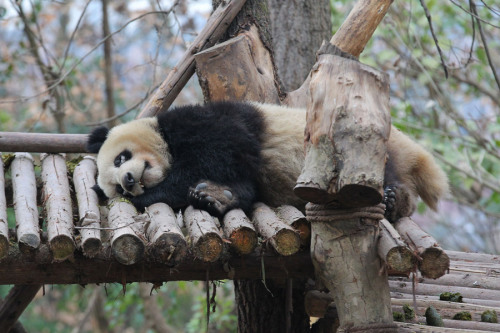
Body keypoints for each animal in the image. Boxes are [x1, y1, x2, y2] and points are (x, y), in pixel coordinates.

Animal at [87, 101, 450, 220]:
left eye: (121, 158)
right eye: (118, 187)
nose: (129, 182)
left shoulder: (205, 122)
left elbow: (223, 149)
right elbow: (244, 186)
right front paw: (215, 195)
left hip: (360, 149)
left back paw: (392, 199)